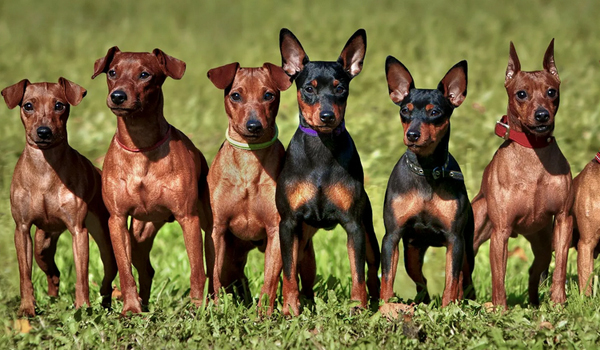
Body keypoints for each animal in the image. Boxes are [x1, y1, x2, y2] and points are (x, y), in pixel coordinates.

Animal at [276, 28, 380, 316]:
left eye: (340, 88)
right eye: (309, 88)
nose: (326, 116)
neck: (321, 151)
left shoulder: (354, 225)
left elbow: (357, 273)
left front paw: (358, 308)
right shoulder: (288, 224)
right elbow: (288, 273)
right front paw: (290, 309)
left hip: (369, 234)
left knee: (373, 270)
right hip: (303, 243)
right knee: (303, 275)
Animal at [380, 56, 474, 306]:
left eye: (435, 112)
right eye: (405, 110)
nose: (412, 135)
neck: (427, 172)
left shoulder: (454, 239)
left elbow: (451, 281)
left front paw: (449, 308)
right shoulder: (392, 236)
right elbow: (387, 278)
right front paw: (385, 307)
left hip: (467, 251)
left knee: (464, 280)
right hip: (412, 253)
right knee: (421, 279)